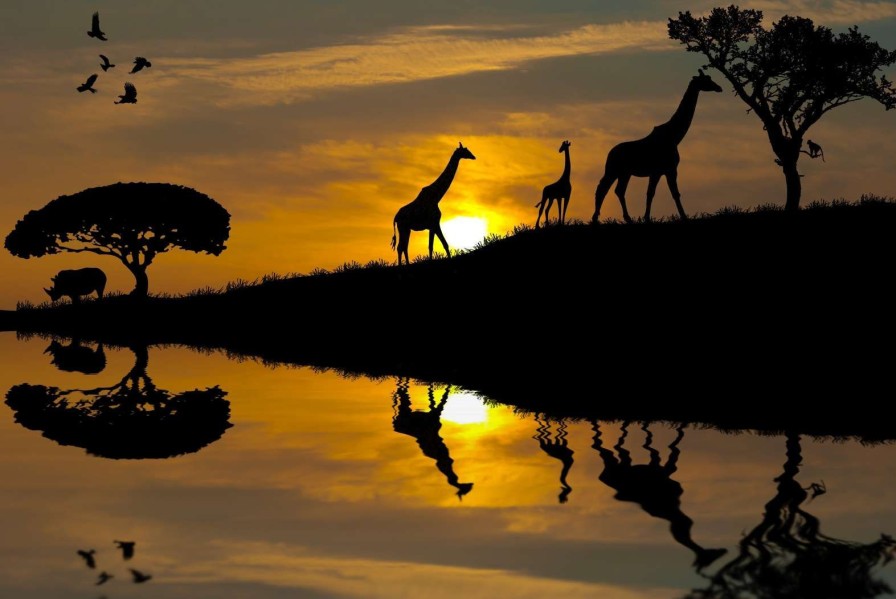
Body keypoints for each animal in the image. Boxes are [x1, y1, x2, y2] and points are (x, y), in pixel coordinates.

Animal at [592, 69, 724, 225]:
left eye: (709, 78)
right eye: (706, 80)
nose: (719, 87)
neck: (674, 136)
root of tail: (610, 153)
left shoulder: (661, 171)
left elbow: (656, 193)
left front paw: (647, 218)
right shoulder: (667, 169)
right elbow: (668, 193)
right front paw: (682, 217)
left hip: (624, 173)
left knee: (618, 190)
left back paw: (626, 218)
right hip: (613, 170)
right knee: (603, 188)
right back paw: (596, 218)